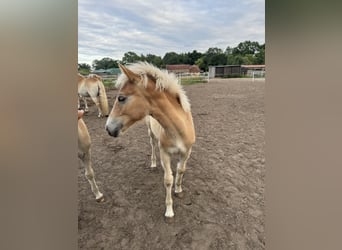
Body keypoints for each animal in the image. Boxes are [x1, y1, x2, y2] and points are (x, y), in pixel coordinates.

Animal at [104, 61, 195, 218]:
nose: (108, 128)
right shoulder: (165, 153)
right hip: (150, 133)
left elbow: (181, 170)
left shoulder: (186, 152)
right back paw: (153, 163)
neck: (178, 130)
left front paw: (178, 190)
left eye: (121, 98)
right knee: (152, 145)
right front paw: (169, 211)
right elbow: (168, 180)